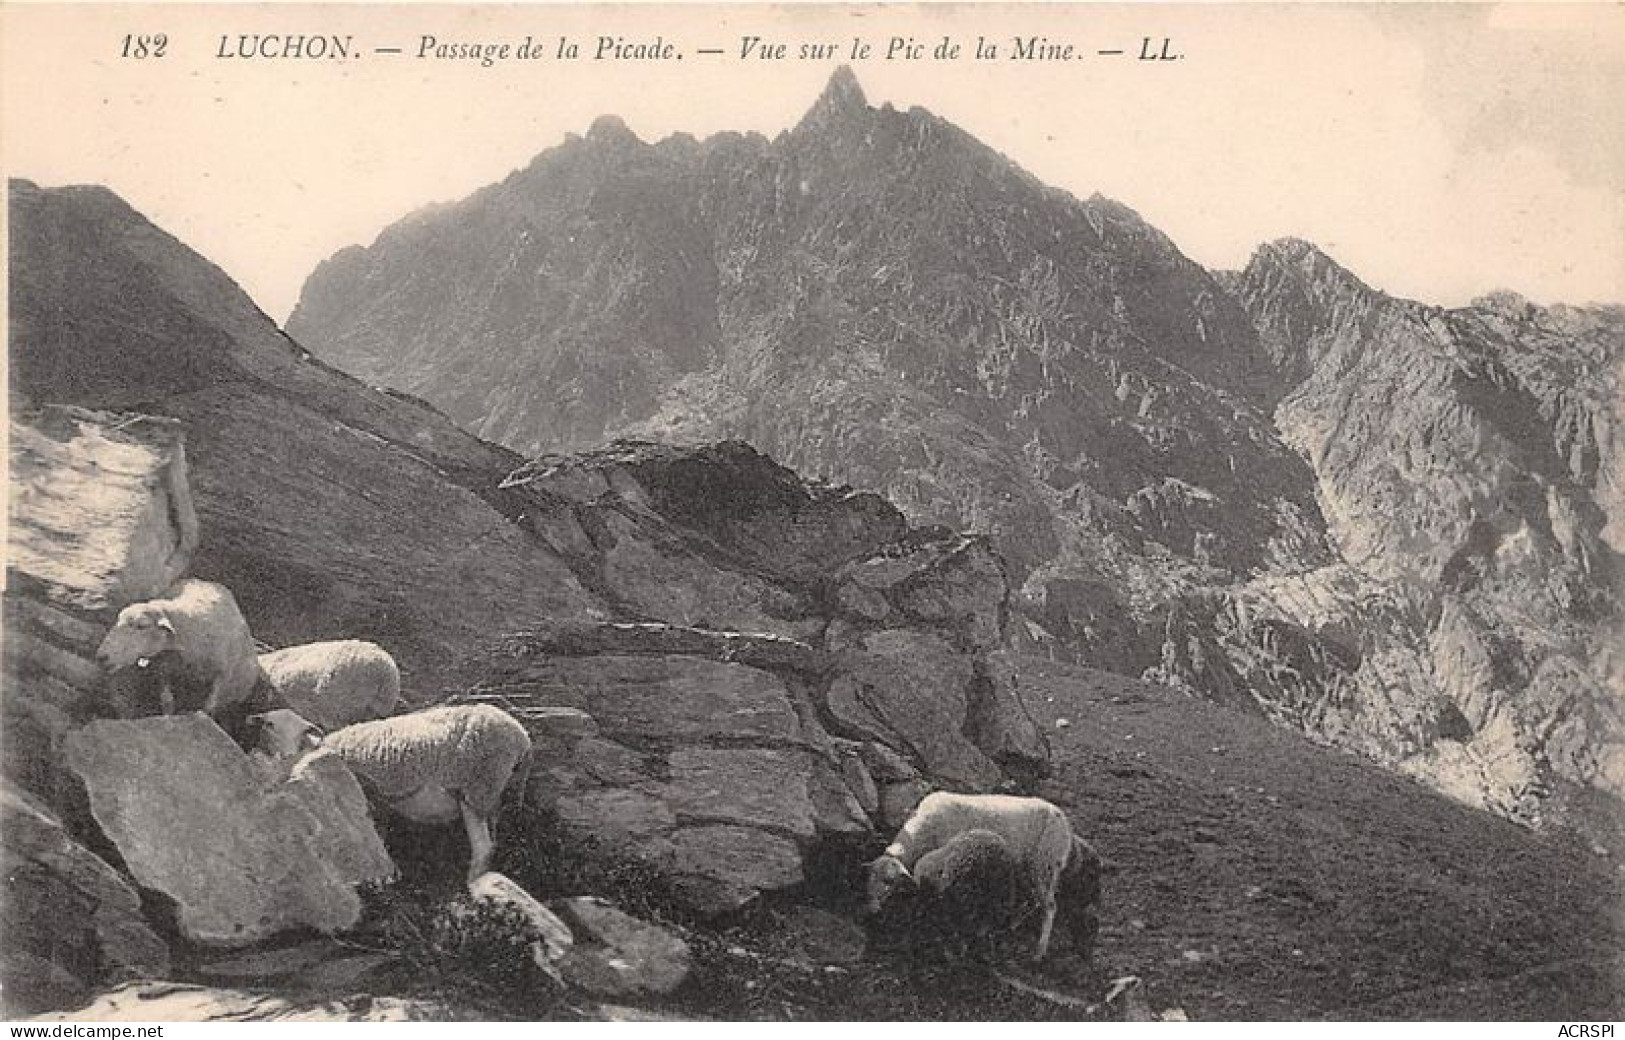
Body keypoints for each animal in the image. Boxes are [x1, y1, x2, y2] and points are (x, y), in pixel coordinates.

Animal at [95, 578, 261, 721]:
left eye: (142, 626)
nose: (102, 656)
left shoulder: (223, 675)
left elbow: (209, 707)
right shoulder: (164, 670)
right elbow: (167, 701)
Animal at [250, 702, 533, 884]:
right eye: (269, 724)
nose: (286, 754)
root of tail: (522, 739)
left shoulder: (371, 798)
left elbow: (378, 837)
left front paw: (385, 876)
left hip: (476, 787)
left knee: (483, 848)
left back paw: (472, 887)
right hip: (496, 795)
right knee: (492, 844)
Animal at [864, 796, 1079, 962]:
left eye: (889, 881)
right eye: (868, 879)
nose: (872, 910)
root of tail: (1064, 822)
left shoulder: (946, 859)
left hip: (1045, 863)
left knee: (1049, 906)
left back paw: (1039, 951)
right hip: (1028, 866)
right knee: (1033, 900)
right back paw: (1013, 925)